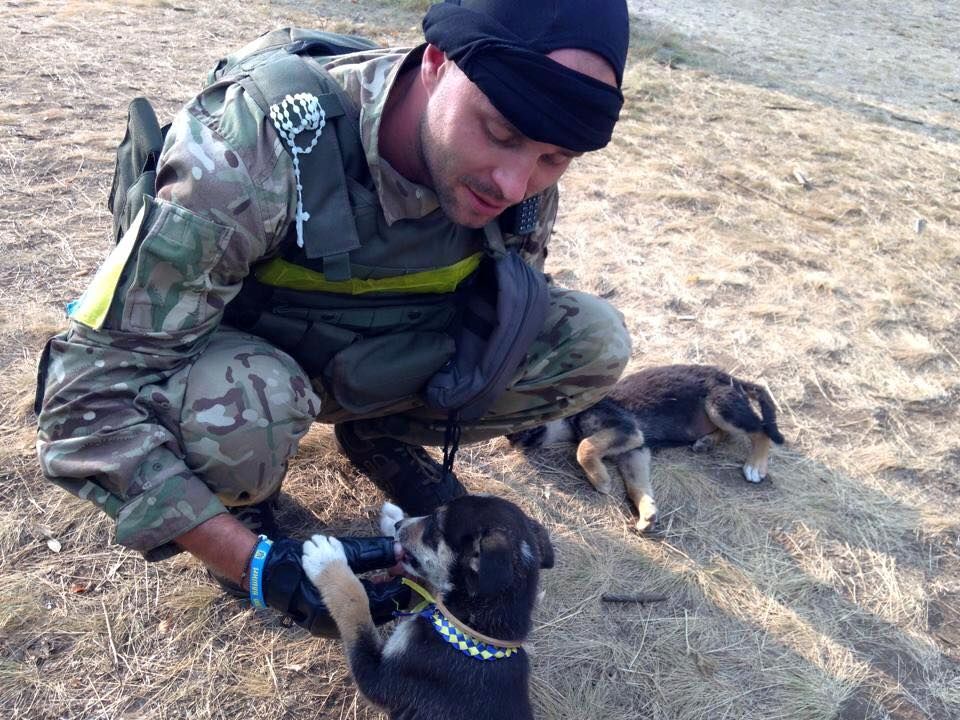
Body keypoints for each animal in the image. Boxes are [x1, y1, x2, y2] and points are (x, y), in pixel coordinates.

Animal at [300, 496, 556, 720]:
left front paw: (327, 560)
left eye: (436, 525)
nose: (399, 525)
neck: (478, 628)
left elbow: (355, 603)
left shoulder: (382, 678)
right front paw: (393, 517)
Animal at [506, 362, 784, 532]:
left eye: (528, 415)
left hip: (719, 405)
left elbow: (584, 446)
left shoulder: (627, 430)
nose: (508, 439)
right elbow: (636, 487)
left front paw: (600, 480)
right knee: (730, 432)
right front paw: (647, 513)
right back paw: (705, 442)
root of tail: (732, 378)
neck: (577, 413)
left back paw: (755, 465)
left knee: (760, 430)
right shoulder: (634, 450)